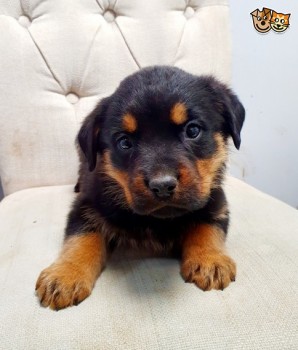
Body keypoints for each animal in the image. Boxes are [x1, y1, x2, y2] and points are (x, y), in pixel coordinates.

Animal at [35, 65, 244, 308]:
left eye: (192, 131)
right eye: (124, 142)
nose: (162, 186)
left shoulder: (216, 199)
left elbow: (208, 226)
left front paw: (211, 260)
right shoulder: (85, 205)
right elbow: (80, 238)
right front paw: (65, 275)